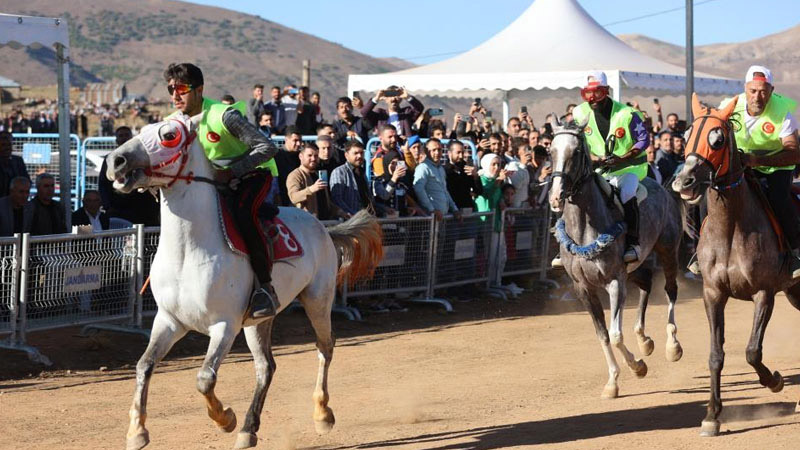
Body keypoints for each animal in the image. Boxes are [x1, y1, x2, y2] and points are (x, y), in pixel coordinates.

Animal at [107, 112, 384, 450]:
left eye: (170, 135)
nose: (116, 160)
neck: (188, 252)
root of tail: (322, 228)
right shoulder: (169, 320)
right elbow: (144, 365)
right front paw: (137, 431)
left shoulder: (224, 326)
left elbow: (205, 378)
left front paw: (225, 418)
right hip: (258, 321)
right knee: (266, 367)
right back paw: (249, 429)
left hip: (318, 299)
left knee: (325, 347)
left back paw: (322, 414)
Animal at [552, 120, 684, 398]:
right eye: (551, 151)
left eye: (576, 152)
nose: (556, 195)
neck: (584, 231)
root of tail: (663, 188)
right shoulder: (583, 288)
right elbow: (602, 334)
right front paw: (613, 381)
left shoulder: (614, 281)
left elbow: (615, 334)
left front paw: (638, 367)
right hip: (633, 269)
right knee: (646, 283)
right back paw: (644, 340)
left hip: (667, 250)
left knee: (670, 290)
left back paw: (672, 345)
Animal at [672, 94, 800, 436]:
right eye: (687, 135)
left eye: (717, 140)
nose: (684, 182)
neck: (731, 229)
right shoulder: (713, 293)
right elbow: (716, 354)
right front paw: (712, 415)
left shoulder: (764, 293)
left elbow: (752, 351)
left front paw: (775, 380)